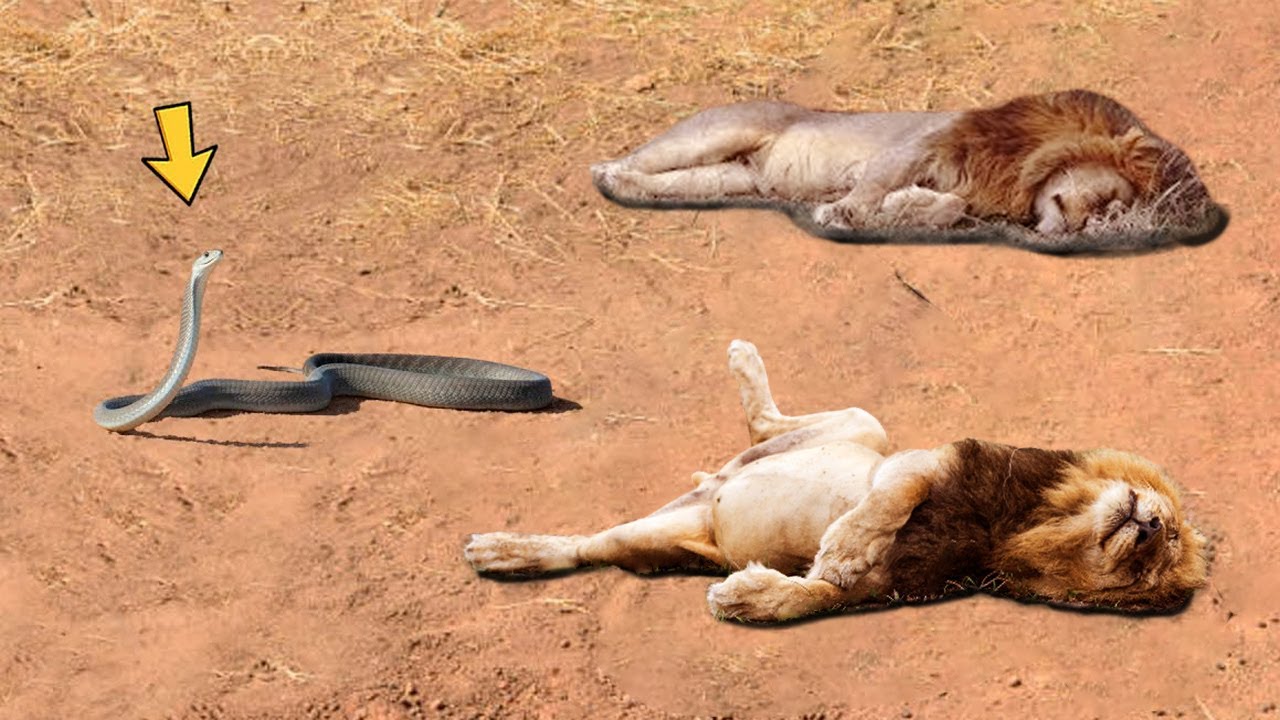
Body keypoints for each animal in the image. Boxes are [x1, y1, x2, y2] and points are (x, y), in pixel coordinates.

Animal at [465, 340, 1208, 622]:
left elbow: (816, 595)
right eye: (1167, 527)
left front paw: (749, 597)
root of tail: (712, 494)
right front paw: (845, 543)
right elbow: (892, 498)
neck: (1026, 527)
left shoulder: (896, 585)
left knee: (592, 548)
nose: (1150, 527)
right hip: (864, 428)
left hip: (660, 539)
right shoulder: (932, 461)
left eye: (1154, 561)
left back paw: (507, 555)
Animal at [591, 90, 1218, 250]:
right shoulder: (914, 145)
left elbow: (950, 204)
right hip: (721, 131)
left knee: (669, 182)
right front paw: (842, 212)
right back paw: (608, 175)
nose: (1079, 228)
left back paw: (632, 190)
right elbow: (875, 183)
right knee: (631, 159)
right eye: (1105, 203)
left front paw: (905, 209)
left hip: (730, 177)